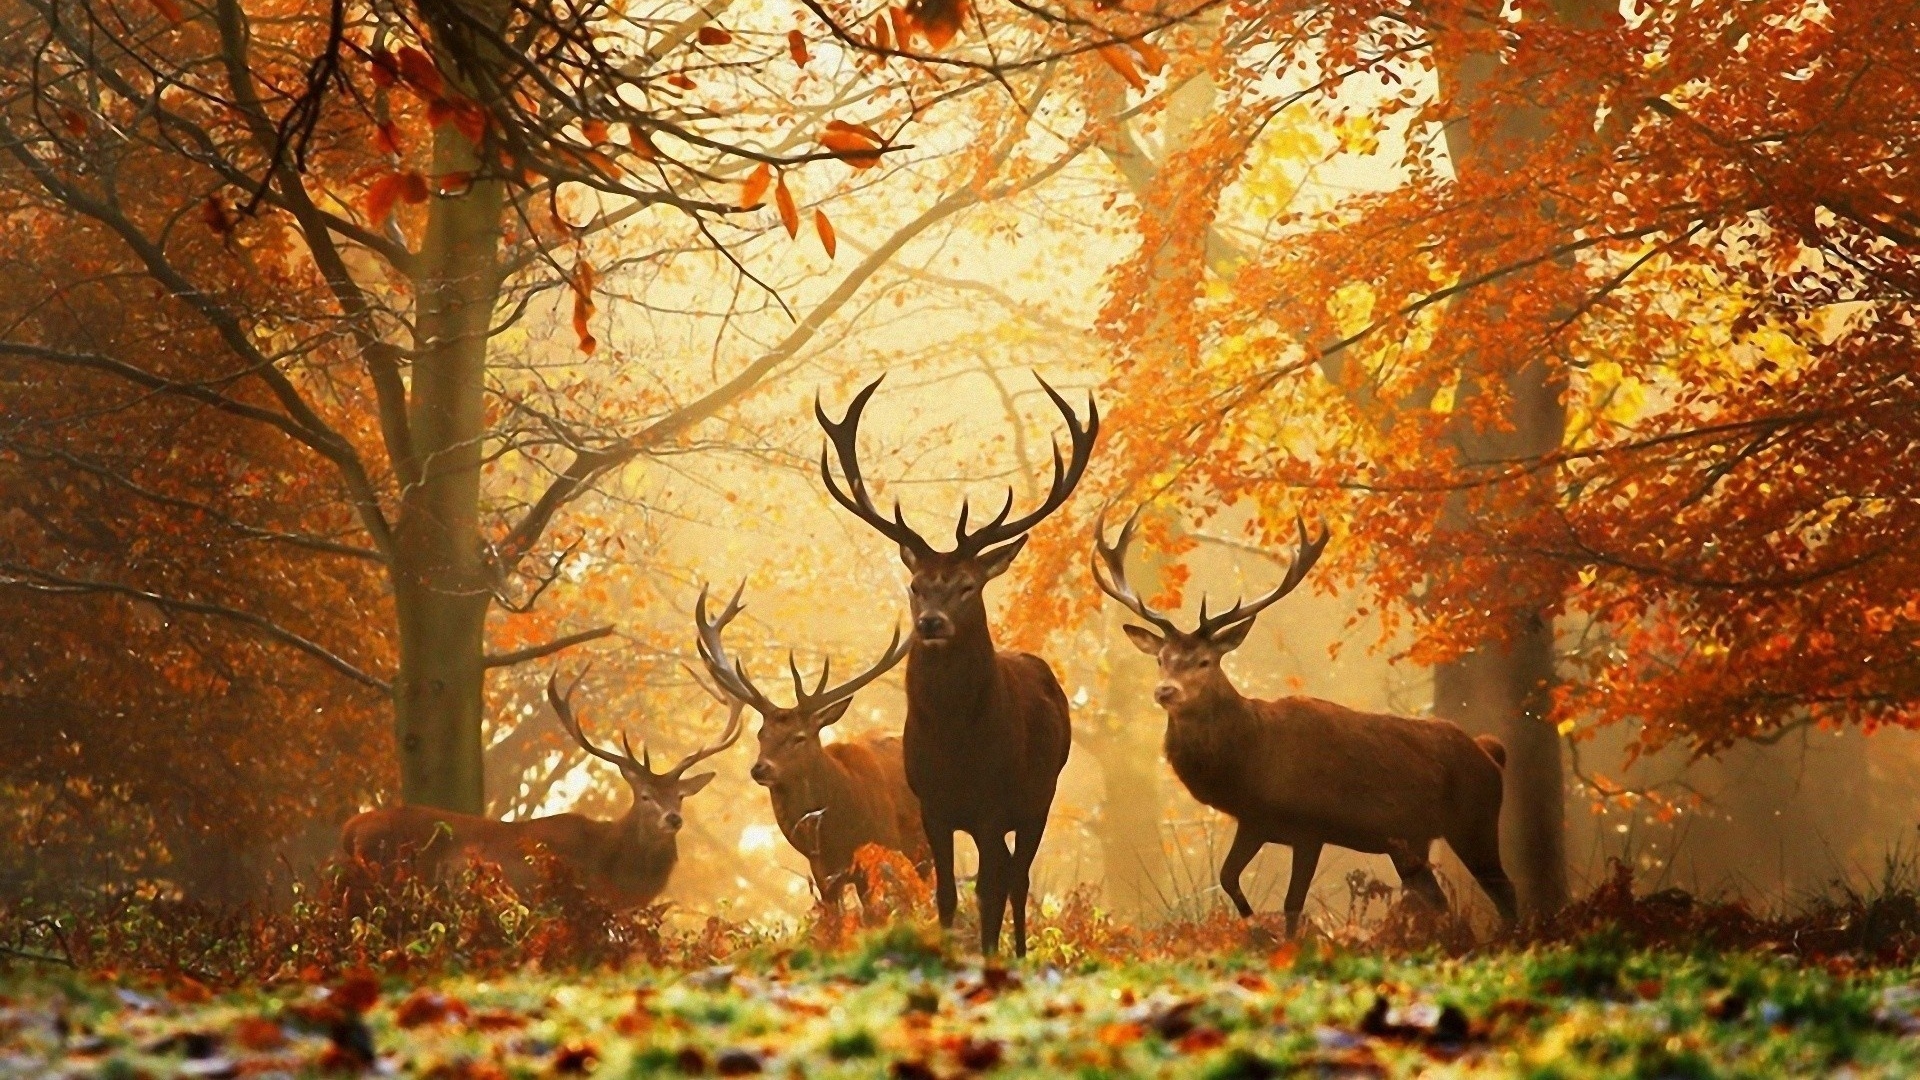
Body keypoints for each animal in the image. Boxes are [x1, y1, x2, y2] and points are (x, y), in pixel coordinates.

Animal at [693, 583, 931, 921]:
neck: (838, 832)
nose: (760, 768)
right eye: (761, 734)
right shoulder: (823, 872)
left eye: (799, 737)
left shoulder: (882, 849)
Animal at [816, 373, 1096, 956]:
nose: (931, 623)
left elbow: (989, 891)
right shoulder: (933, 806)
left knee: (1018, 878)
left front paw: (989, 957)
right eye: (916, 585)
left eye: (968, 585)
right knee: (1009, 874)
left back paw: (1018, 953)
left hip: (1040, 796)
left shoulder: (993, 804)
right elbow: (945, 893)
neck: (956, 746)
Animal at [1091, 509, 1518, 939]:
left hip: (1475, 820)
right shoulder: (1255, 821)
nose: (1165, 690)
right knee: (1439, 900)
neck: (1252, 762)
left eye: (1204, 661)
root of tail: (1490, 752)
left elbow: (1292, 903)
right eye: (1161, 658)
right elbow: (1228, 877)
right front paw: (1255, 930)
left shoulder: (1311, 826)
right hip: (1410, 842)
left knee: (1506, 891)